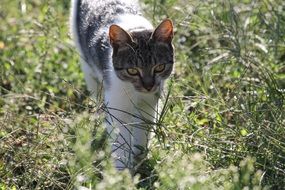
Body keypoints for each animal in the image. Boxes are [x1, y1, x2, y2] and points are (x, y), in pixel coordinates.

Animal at [70, 0, 173, 172]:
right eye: (132, 70)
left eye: (159, 67)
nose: (149, 86)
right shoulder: (118, 108)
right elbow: (121, 140)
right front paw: (121, 171)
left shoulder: (148, 105)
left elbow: (142, 130)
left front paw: (139, 155)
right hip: (86, 63)